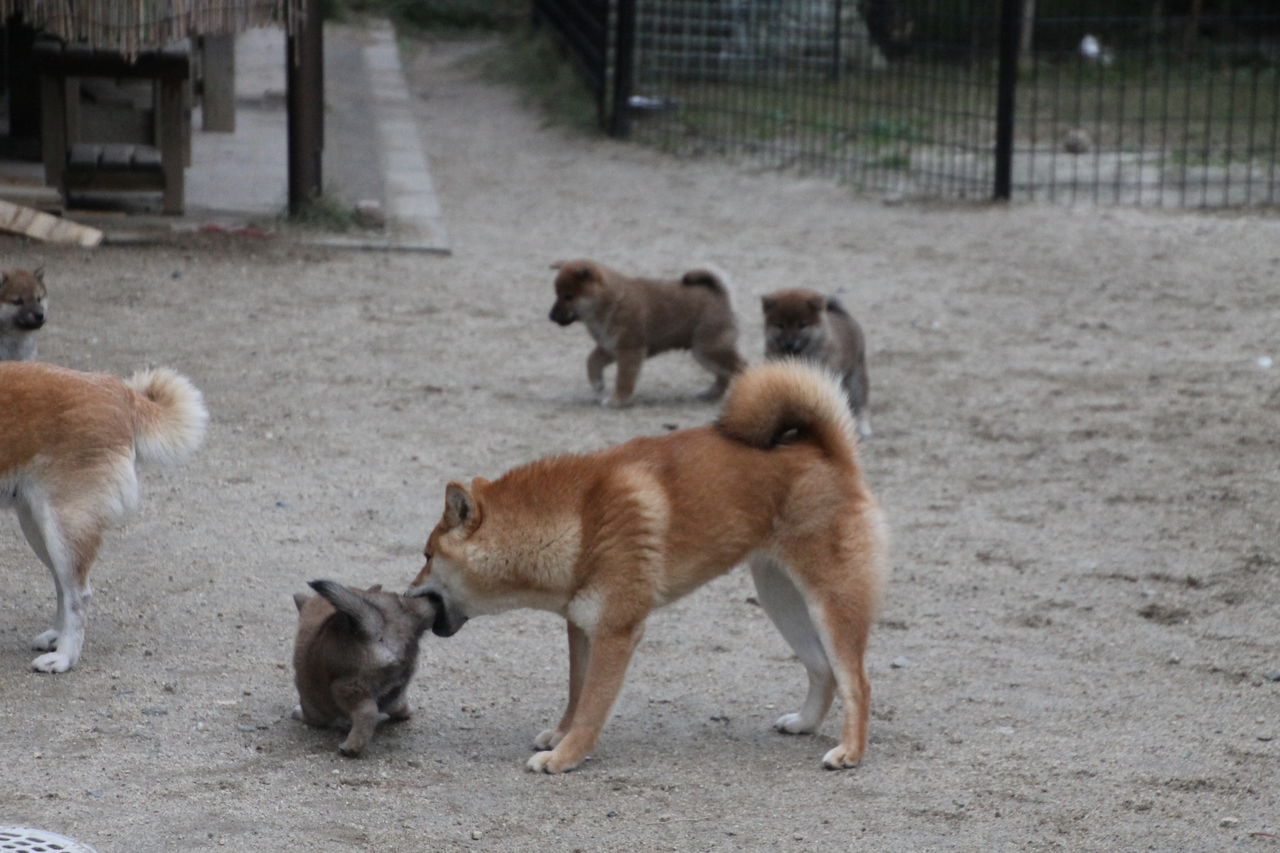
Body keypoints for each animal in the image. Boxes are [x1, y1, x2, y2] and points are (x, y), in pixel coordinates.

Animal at [0, 361, 207, 672]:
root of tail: (118, 390)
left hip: (63, 527)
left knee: (78, 595)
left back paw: (64, 656)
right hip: (39, 528)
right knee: (64, 587)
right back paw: (57, 638)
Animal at [291, 580, 437, 756]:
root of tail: (377, 626)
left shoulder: (312, 703)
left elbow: (311, 714)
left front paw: (298, 713)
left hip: (347, 688)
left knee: (367, 713)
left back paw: (351, 747)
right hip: (398, 683)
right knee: (397, 703)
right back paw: (404, 713)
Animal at [409, 361, 888, 773]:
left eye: (427, 556)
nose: (408, 593)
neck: (577, 519)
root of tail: (829, 452)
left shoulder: (616, 633)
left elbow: (592, 706)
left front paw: (565, 756)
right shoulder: (583, 628)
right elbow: (577, 693)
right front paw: (561, 736)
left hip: (831, 603)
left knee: (857, 681)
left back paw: (850, 752)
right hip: (781, 599)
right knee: (823, 669)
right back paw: (804, 723)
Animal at [548, 259, 746, 407]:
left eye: (568, 296)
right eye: (557, 294)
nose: (550, 316)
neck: (609, 301)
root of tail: (722, 296)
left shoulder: (629, 350)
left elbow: (624, 379)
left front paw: (618, 399)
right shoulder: (609, 347)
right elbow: (591, 361)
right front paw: (597, 384)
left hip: (708, 349)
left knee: (740, 368)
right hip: (704, 354)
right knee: (724, 375)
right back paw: (711, 394)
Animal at [762, 288, 872, 437]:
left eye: (802, 325)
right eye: (780, 325)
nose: (789, 343)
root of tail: (841, 312)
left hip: (855, 376)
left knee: (861, 402)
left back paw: (863, 427)